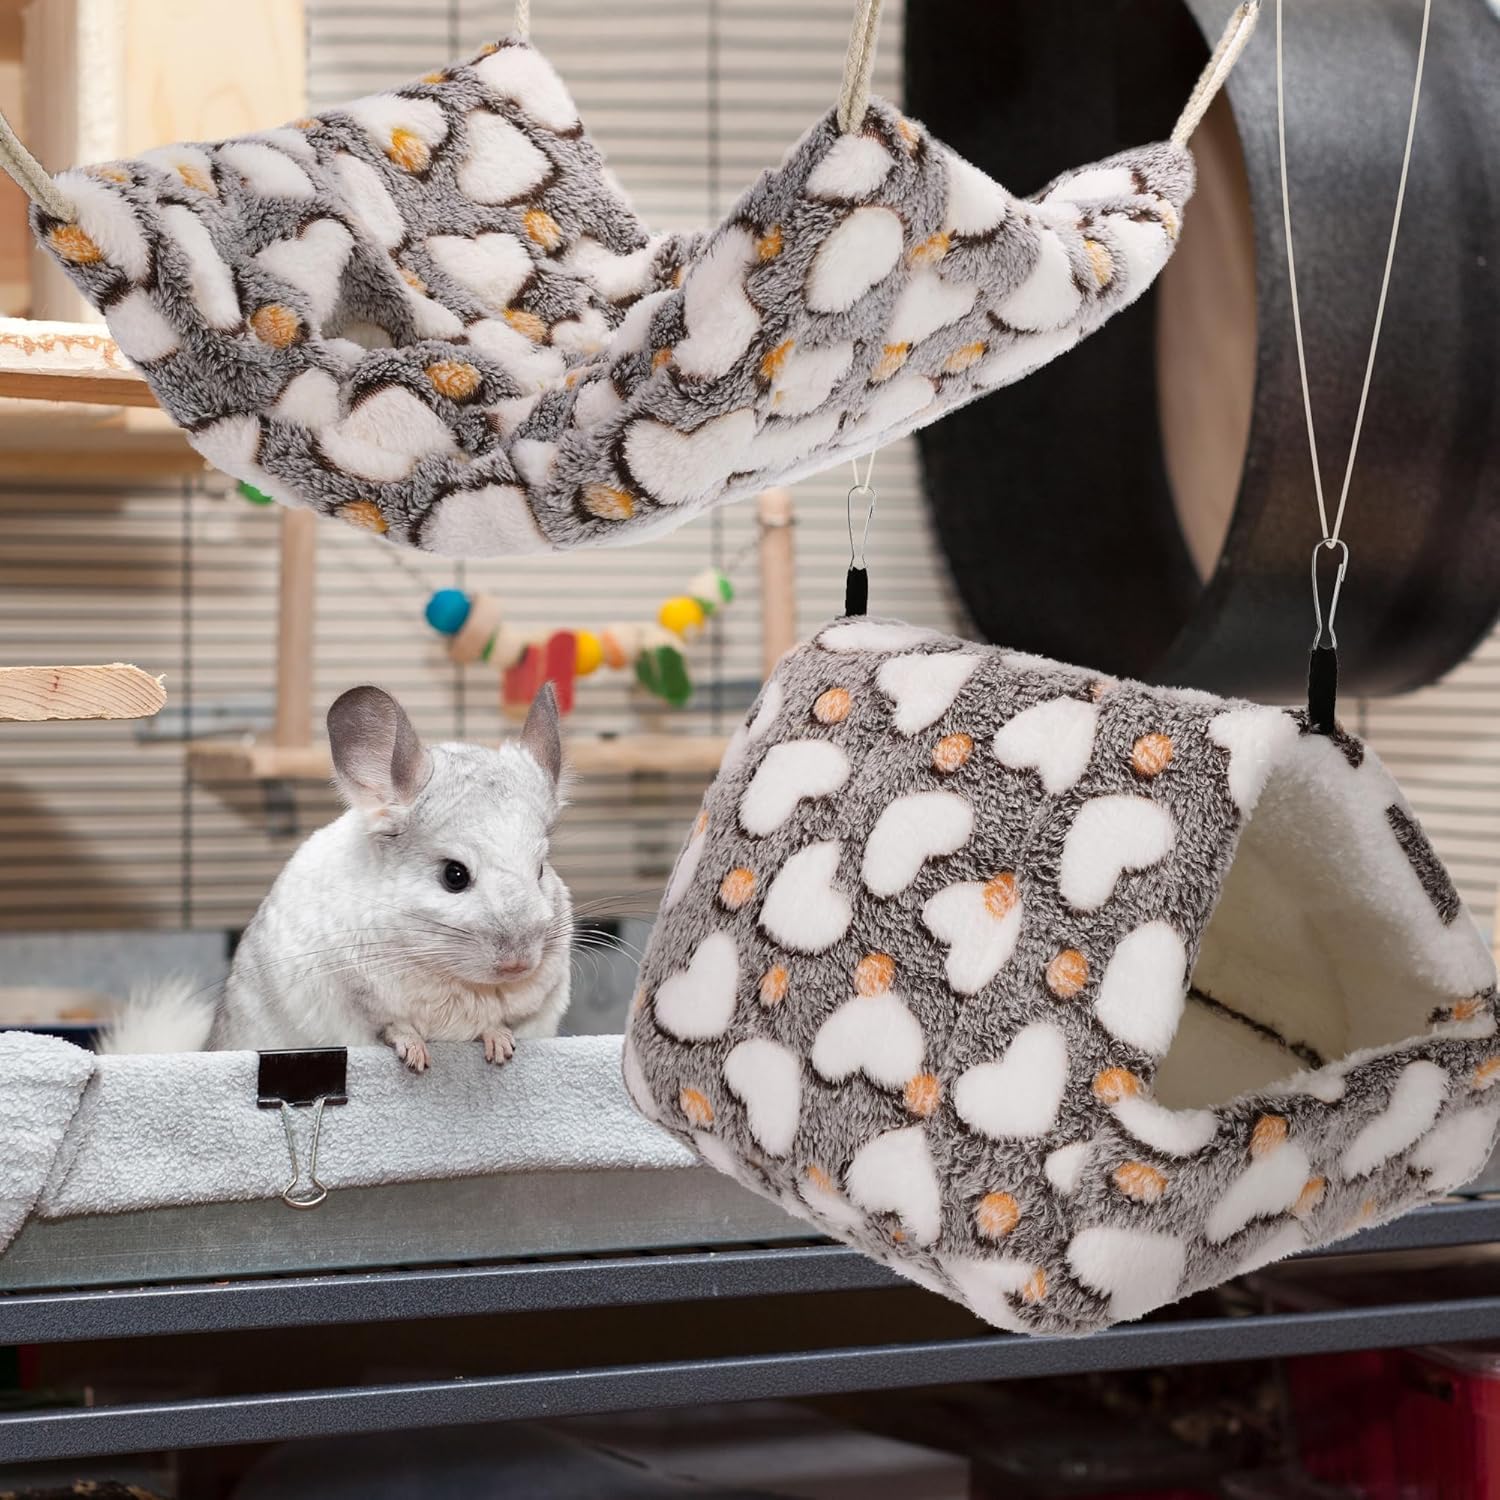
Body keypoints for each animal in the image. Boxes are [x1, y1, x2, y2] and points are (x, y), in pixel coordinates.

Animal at [102, 684, 572, 1070]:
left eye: (540, 869)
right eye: (454, 875)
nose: (518, 963)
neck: (453, 975)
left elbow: (496, 1023)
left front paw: (500, 1045)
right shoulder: (360, 995)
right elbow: (394, 1027)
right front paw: (416, 1054)